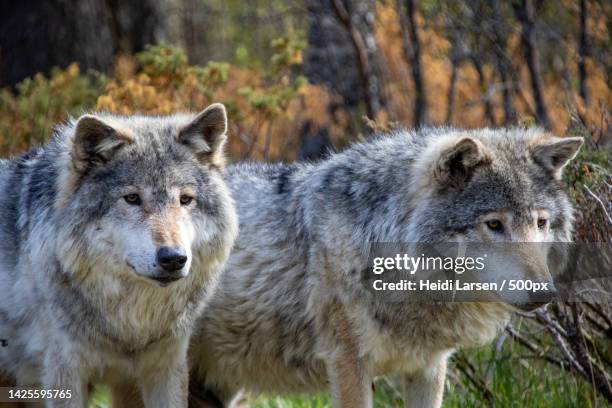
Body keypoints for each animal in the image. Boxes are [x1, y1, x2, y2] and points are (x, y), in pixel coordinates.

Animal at [0, 103, 238, 406]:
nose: (173, 258)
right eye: (132, 198)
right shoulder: (64, 371)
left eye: (185, 200)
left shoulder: (167, 367)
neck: (129, 329)